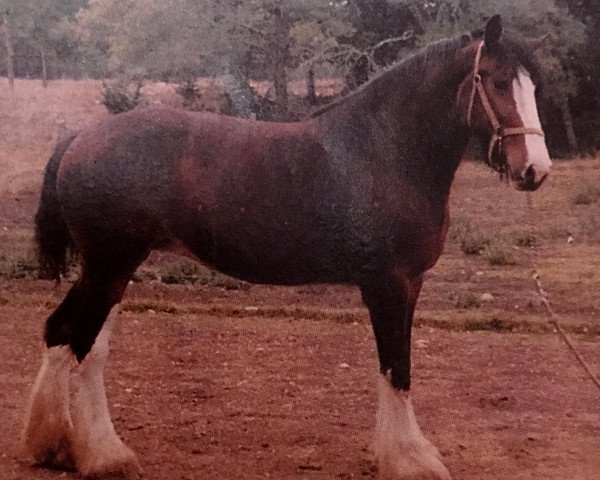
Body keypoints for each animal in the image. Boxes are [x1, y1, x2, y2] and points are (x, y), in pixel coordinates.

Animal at [22, 15, 548, 480]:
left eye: (534, 87)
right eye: (498, 82)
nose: (535, 171)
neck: (384, 151)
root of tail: (80, 137)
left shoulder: (411, 284)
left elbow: (397, 365)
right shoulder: (387, 285)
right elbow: (396, 367)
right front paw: (410, 461)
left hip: (111, 269)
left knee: (71, 338)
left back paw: (59, 447)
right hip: (109, 267)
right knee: (78, 340)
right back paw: (102, 457)